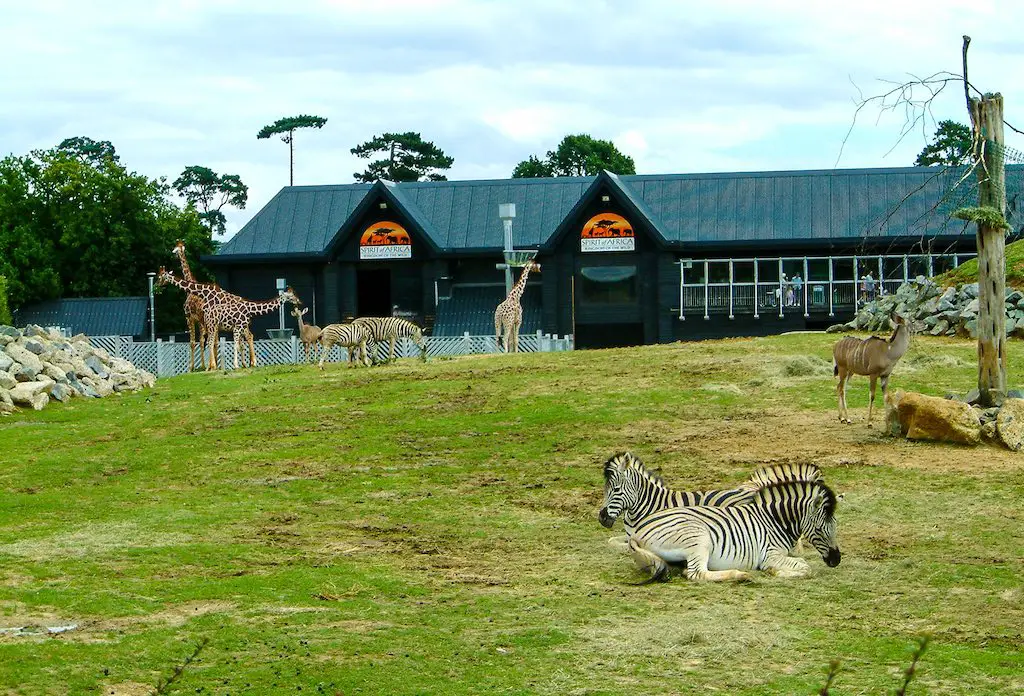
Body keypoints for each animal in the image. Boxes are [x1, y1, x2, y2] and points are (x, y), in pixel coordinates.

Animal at [606, 479, 839, 581]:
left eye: (835, 526)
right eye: (820, 529)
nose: (836, 560)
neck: (775, 521)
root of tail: (637, 533)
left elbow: (802, 563)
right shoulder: (770, 554)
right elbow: (806, 567)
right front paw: (775, 571)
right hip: (699, 537)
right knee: (696, 574)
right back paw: (740, 575)